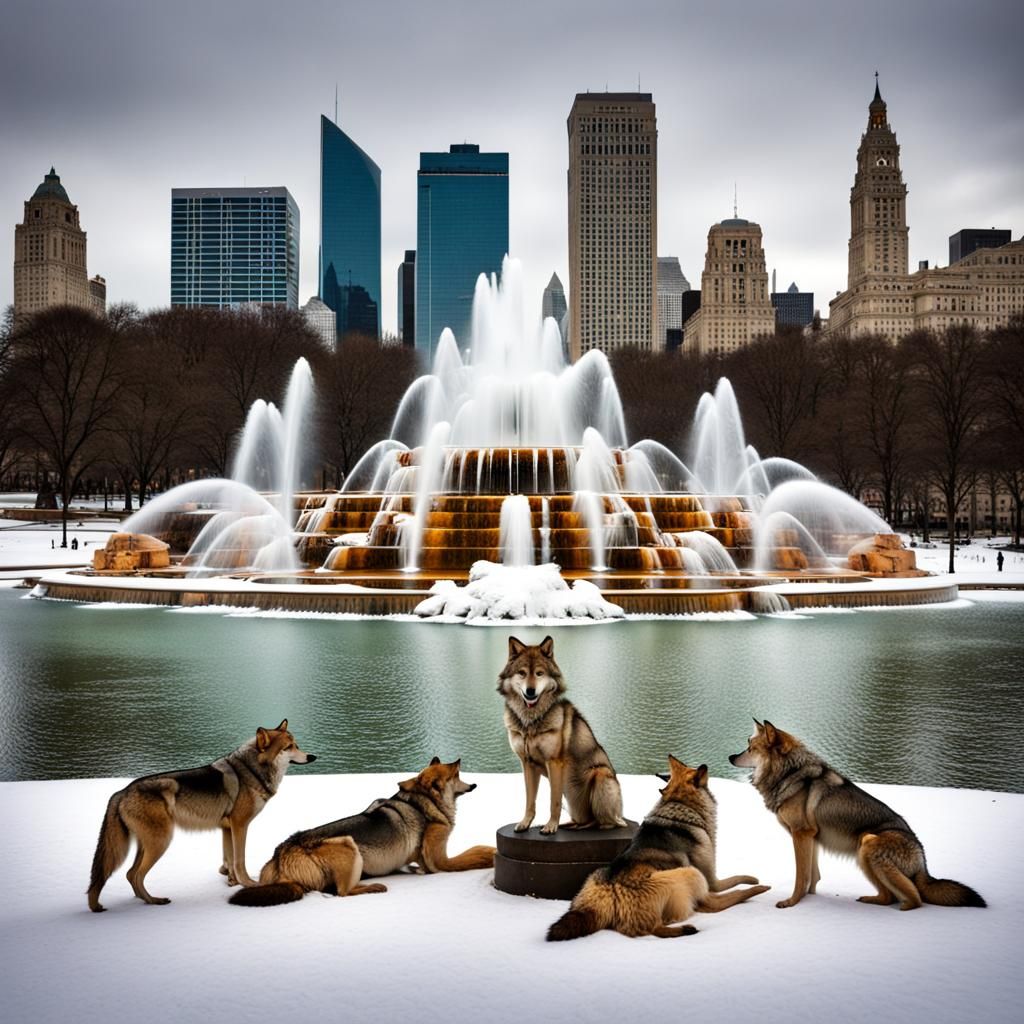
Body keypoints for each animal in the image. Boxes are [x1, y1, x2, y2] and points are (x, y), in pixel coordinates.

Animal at [87, 720, 315, 912]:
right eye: (289, 747)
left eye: (296, 744)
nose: (312, 757)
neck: (252, 771)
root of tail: (121, 792)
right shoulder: (240, 826)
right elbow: (239, 860)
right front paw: (249, 883)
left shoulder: (227, 828)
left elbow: (228, 859)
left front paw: (231, 882)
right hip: (159, 843)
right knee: (135, 875)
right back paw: (154, 901)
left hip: (145, 846)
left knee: (129, 874)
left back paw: (143, 899)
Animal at [228, 757, 496, 907]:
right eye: (455, 771)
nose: (458, 759)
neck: (423, 802)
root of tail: (283, 854)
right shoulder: (440, 861)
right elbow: (474, 854)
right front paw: (488, 852)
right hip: (349, 845)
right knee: (343, 892)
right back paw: (375, 887)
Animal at [498, 635, 626, 835]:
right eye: (522, 673)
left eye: (539, 673)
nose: (530, 691)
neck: (530, 723)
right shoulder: (527, 764)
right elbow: (530, 800)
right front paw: (525, 823)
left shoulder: (554, 763)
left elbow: (554, 801)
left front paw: (551, 826)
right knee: (586, 820)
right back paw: (570, 825)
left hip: (600, 775)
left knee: (606, 823)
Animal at [547, 756, 769, 940]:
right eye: (695, 772)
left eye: (684, 765)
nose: (704, 765)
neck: (680, 804)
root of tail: (612, 890)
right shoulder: (712, 880)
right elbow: (734, 880)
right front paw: (754, 881)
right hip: (691, 873)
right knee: (712, 904)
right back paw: (758, 890)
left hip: (593, 881)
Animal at [729, 720, 986, 911]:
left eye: (750, 747)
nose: (730, 757)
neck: (790, 773)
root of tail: (923, 862)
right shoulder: (811, 837)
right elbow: (812, 876)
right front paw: (809, 899)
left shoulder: (801, 835)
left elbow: (801, 876)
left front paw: (791, 902)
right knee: (890, 897)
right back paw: (870, 900)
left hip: (868, 844)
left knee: (915, 898)